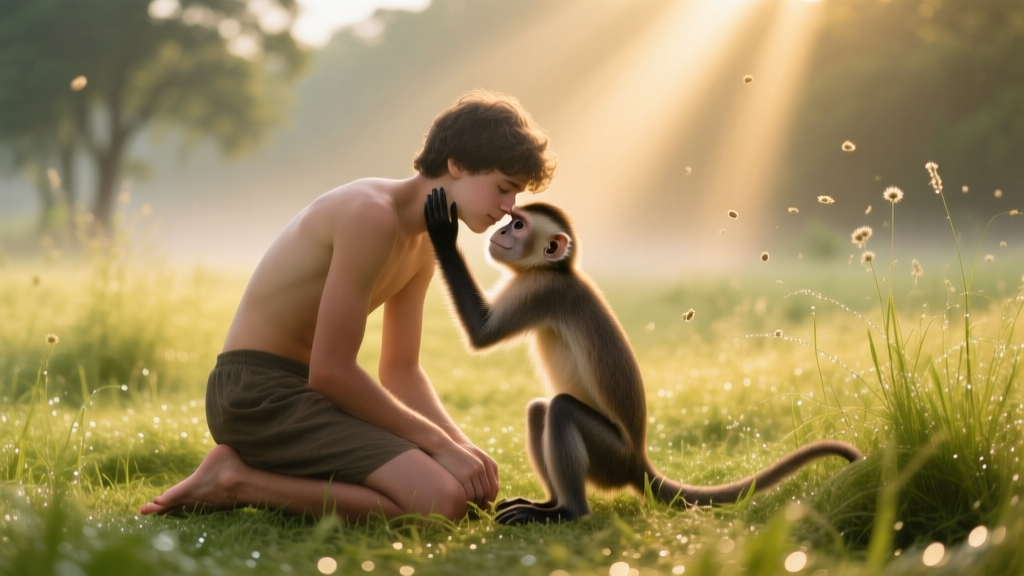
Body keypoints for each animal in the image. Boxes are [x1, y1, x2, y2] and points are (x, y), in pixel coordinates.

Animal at [423, 188, 864, 525]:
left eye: (518, 225)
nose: (500, 231)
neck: (553, 271)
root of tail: (638, 459)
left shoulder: (543, 290)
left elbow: (481, 334)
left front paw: (443, 232)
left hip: (610, 457)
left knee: (561, 410)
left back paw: (569, 511)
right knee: (540, 411)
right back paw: (549, 503)